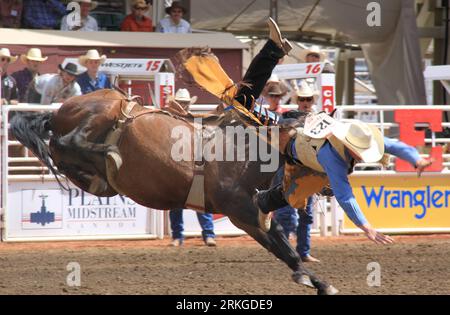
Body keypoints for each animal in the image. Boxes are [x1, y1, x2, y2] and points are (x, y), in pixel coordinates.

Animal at [9, 89, 338, 296]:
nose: (337, 181)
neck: (248, 152)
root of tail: (57, 113)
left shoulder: (253, 215)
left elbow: (283, 247)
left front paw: (317, 281)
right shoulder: (242, 213)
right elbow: (282, 244)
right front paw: (310, 278)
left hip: (82, 161)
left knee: (63, 152)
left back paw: (101, 171)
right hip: (103, 110)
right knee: (70, 140)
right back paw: (111, 152)